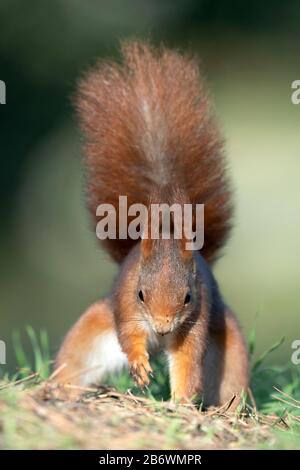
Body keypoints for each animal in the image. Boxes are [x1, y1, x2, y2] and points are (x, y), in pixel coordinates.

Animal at [55, 41, 248, 408]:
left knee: (231, 379)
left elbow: (187, 361)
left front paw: (180, 403)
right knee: (76, 361)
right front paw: (139, 366)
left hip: (228, 345)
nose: (161, 329)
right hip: (93, 329)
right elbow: (129, 336)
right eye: (141, 293)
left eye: (187, 297)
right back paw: (58, 391)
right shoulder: (125, 305)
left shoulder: (197, 318)